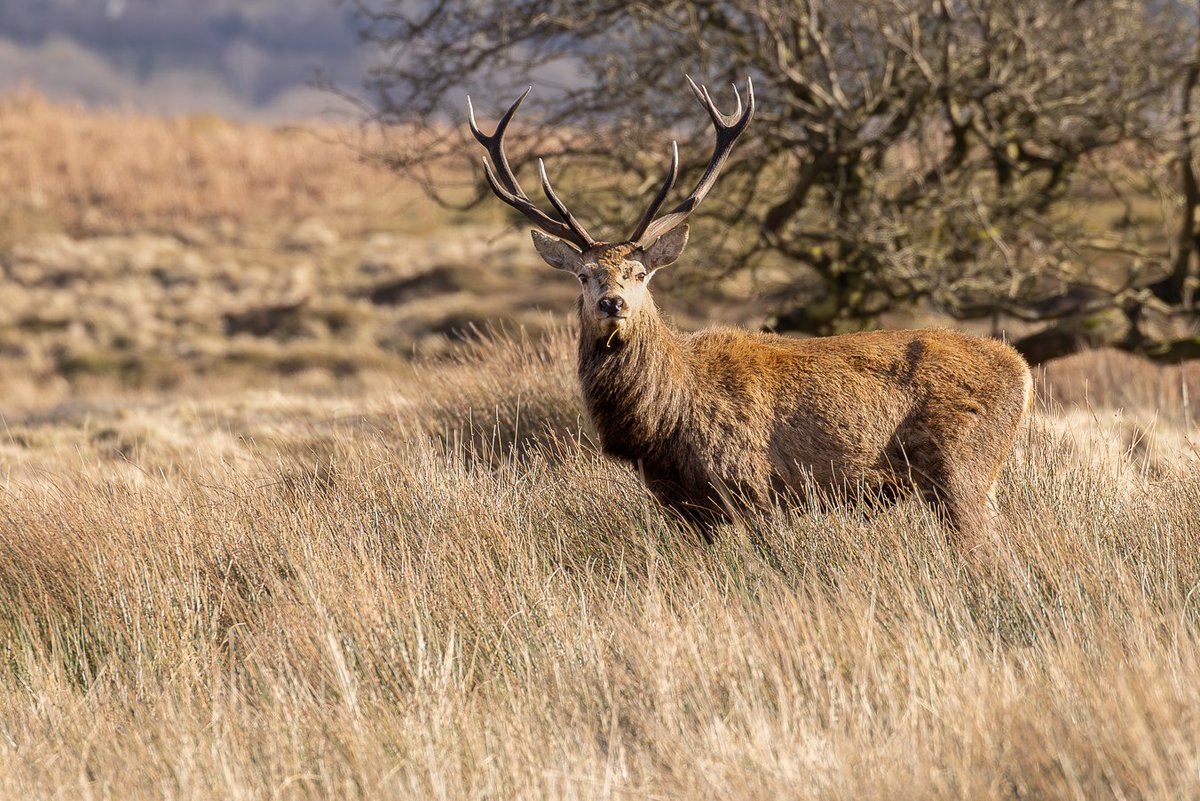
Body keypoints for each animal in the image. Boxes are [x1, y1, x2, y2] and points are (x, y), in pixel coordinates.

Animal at [467, 77, 1034, 548]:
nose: (613, 303)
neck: (664, 419)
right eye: (583, 275)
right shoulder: (683, 504)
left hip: (962, 466)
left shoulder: (748, 486)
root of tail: (1024, 372)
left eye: (640, 272)